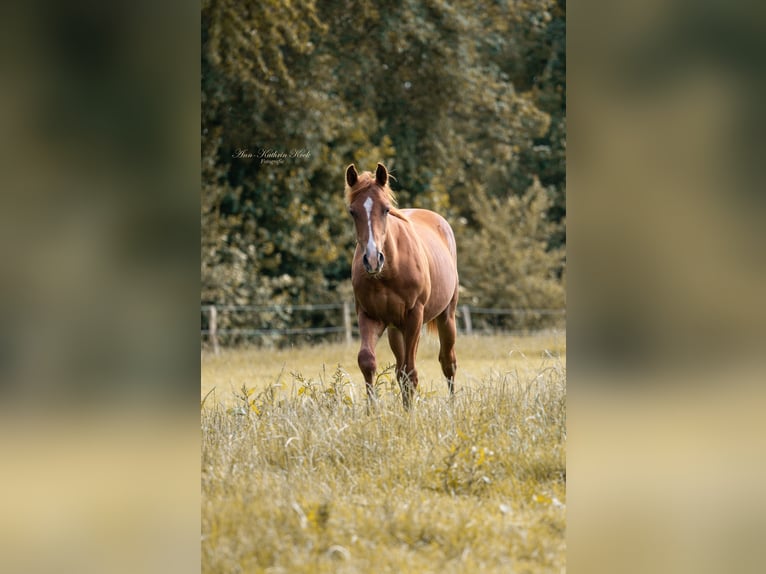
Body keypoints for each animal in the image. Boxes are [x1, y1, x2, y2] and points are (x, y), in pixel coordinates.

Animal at [345, 162, 459, 409]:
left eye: (386, 209)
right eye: (352, 211)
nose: (372, 259)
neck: (389, 271)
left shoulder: (414, 315)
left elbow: (411, 372)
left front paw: (409, 414)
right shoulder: (369, 316)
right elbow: (367, 361)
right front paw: (372, 411)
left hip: (446, 316)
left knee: (448, 362)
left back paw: (452, 405)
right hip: (395, 330)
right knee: (400, 369)